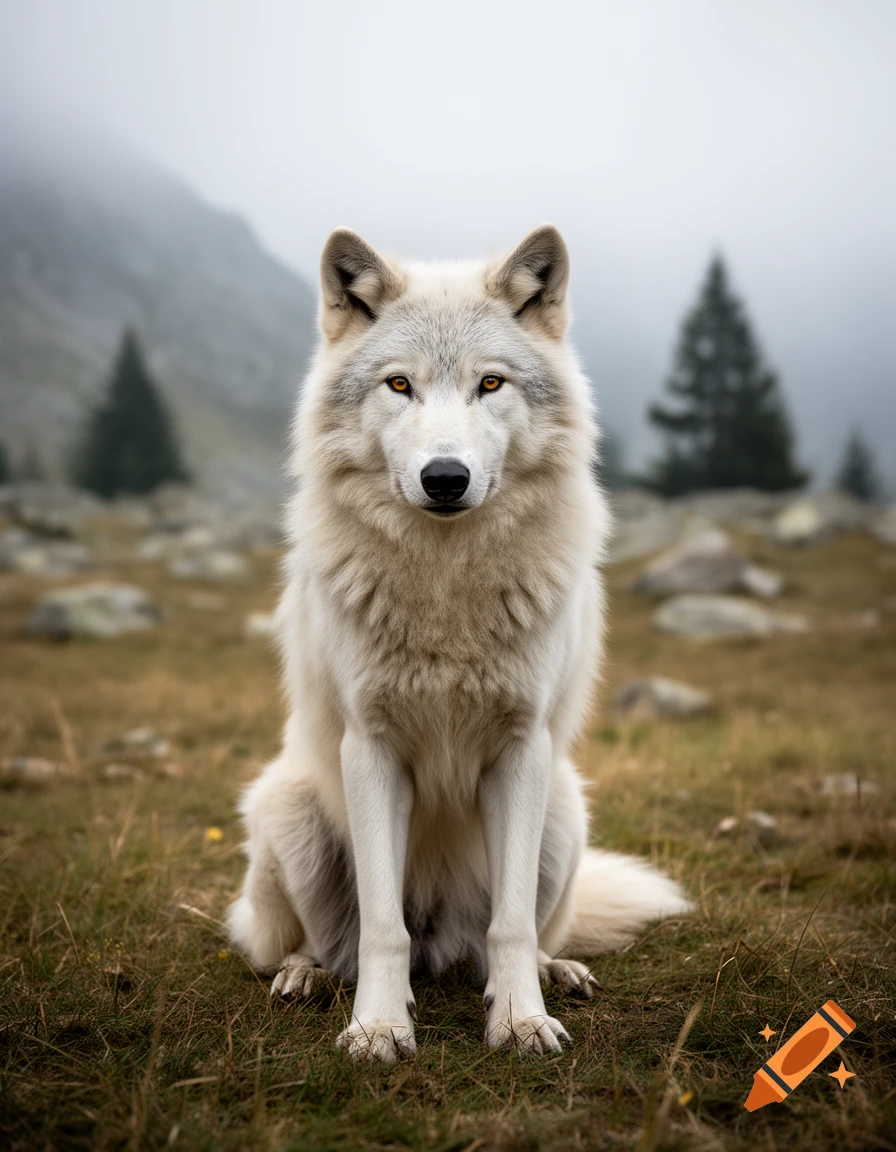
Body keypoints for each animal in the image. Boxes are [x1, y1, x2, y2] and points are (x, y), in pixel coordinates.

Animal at [228, 225, 690, 1062]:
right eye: (399, 385)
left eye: (491, 385)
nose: (445, 477)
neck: (446, 590)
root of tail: (440, 939)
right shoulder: (370, 750)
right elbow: (382, 928)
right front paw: (379, 1027)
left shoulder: (522, 749)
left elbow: (510, 928)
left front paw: (521, 1020)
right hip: (291, 812)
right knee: (329, 944)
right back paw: (304, 975)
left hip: (563, 813)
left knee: (514, 935)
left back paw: (556, 970)